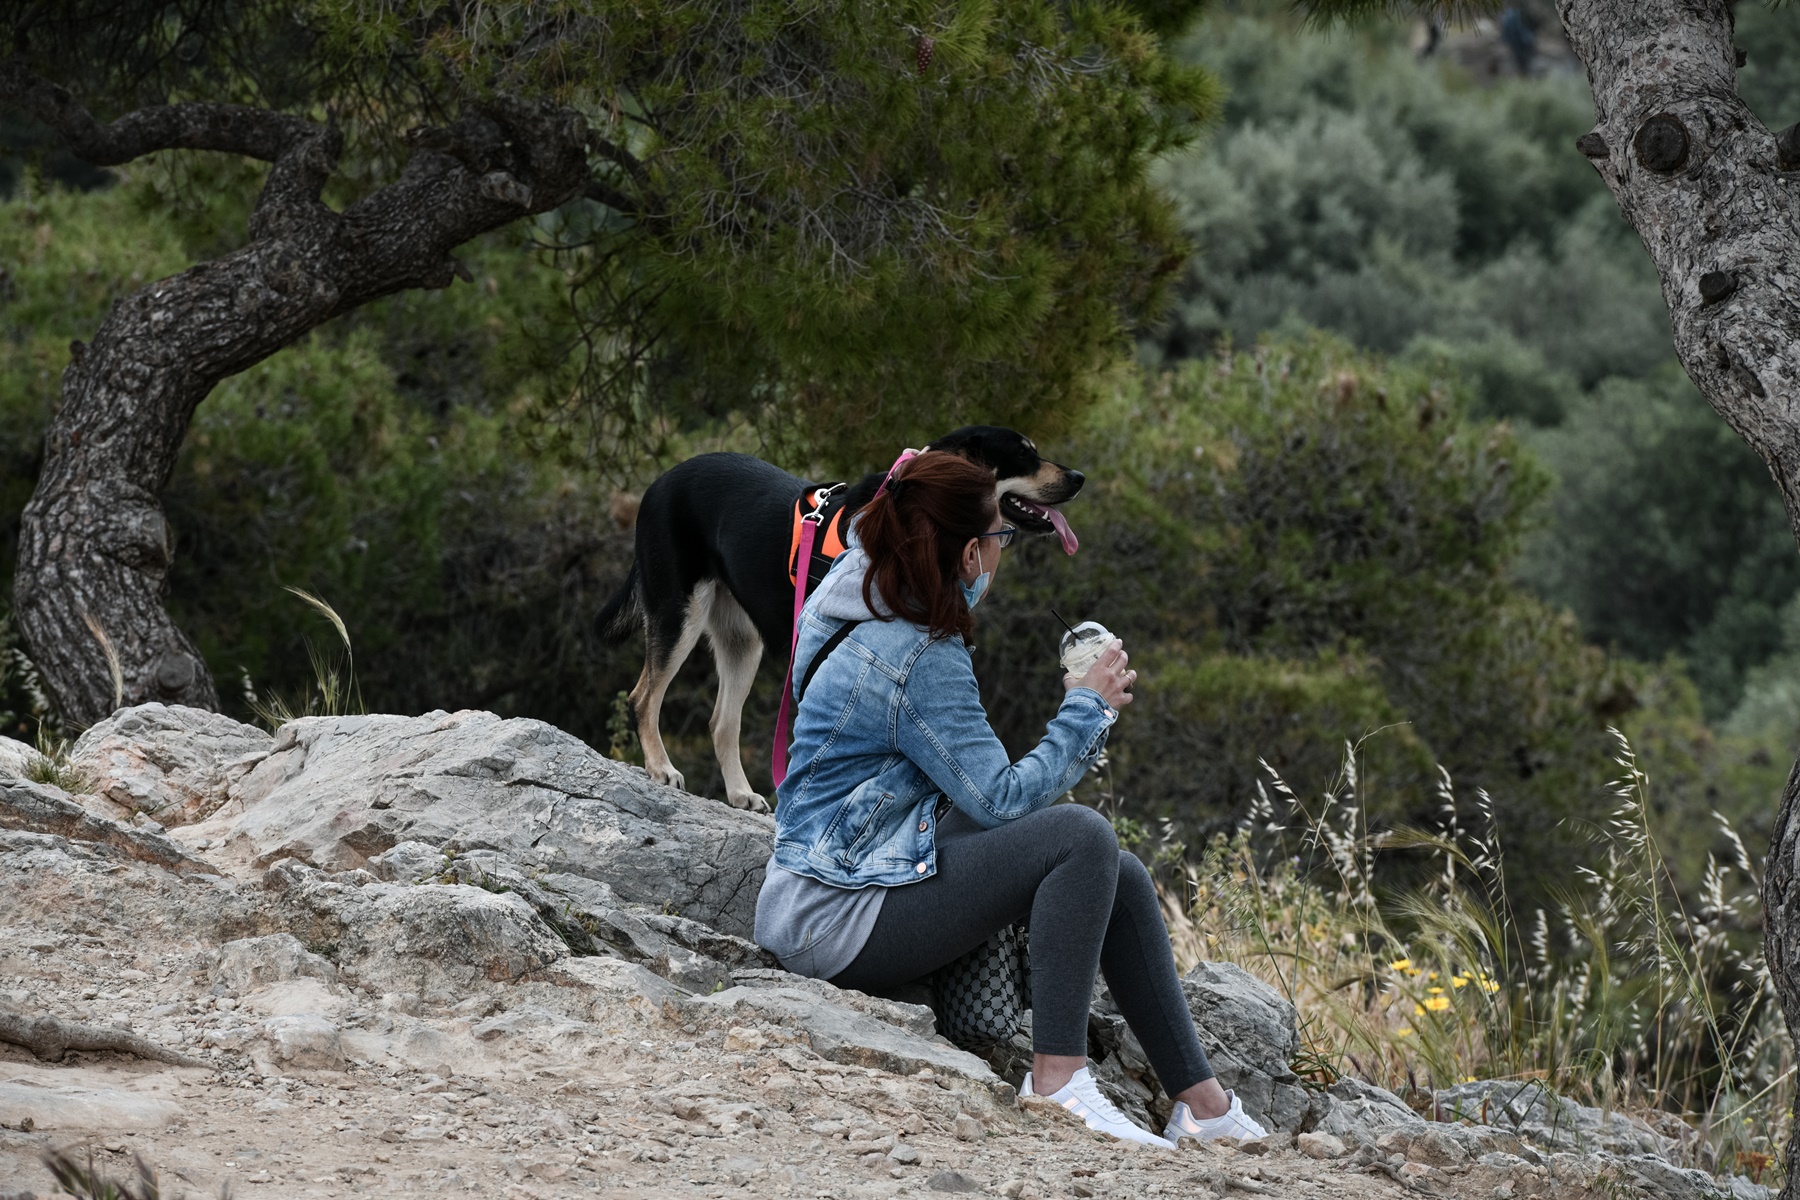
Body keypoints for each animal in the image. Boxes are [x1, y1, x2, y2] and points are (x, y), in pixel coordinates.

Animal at [601, 426, 1080, 813]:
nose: (1079, 478)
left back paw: (741, 794)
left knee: (722, 722)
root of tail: (659, 482)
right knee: (643, 697)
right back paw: (661, 768)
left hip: (741, 640)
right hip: (679, 611)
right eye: (1023, 455)